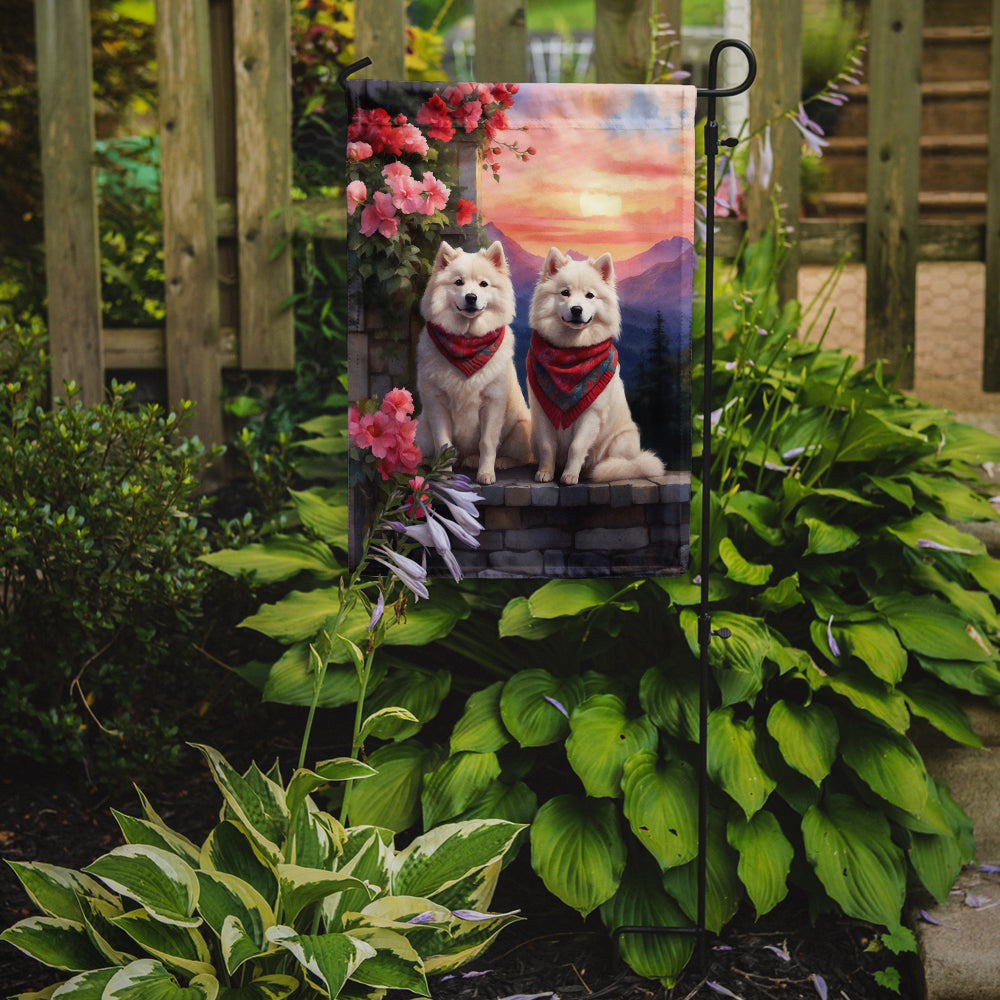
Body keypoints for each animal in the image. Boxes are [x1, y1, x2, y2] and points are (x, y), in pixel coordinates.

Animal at [414, 246, 536, 488]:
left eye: (483, 284)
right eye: (458, 282)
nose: (471, 297)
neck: (467, 341)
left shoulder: (492, 403)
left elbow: (487, 443)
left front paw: (486, 474)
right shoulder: (437, 403)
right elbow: (444, 443)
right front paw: (443, 475)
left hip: (520, 430)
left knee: (520, 456)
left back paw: (499, 462)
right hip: (422, 431)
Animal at [532, 248, 664, 486]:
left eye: (590, 295)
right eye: (565, 293)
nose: (576, 309)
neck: (570, 351)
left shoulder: (591, 414)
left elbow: (576, 447)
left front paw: (570, 475)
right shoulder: (542, 411)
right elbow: (548, 446)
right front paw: (545, 473)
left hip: (621, 440)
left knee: (622, 464)